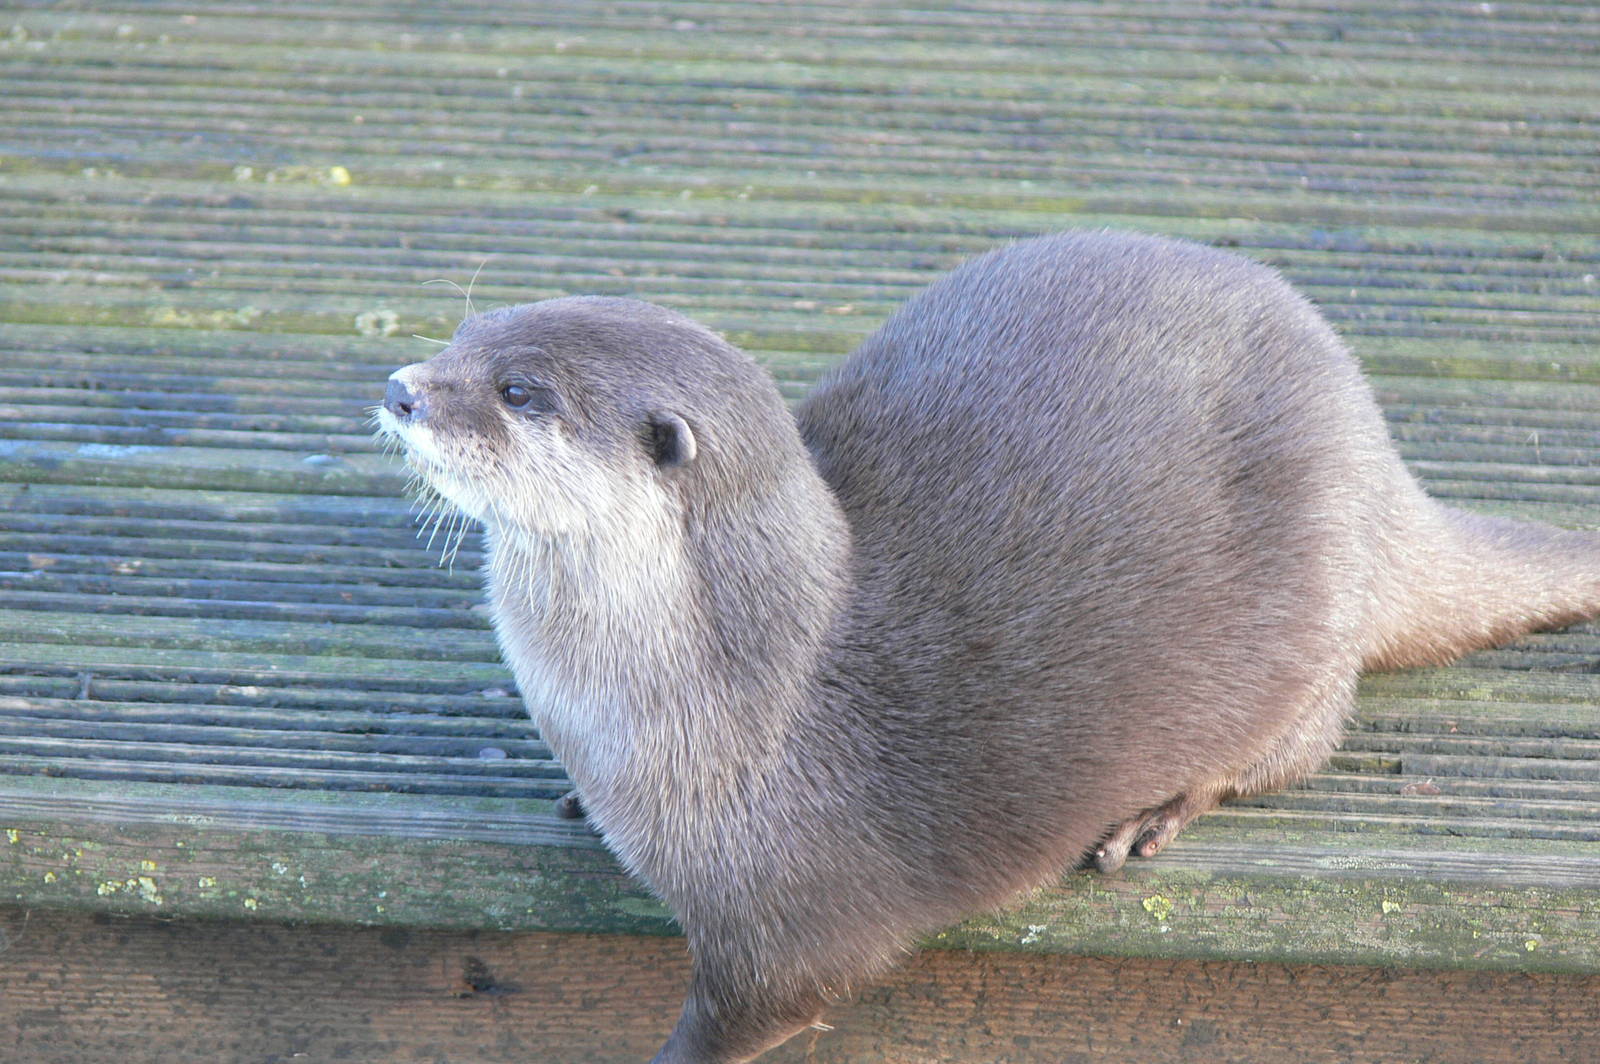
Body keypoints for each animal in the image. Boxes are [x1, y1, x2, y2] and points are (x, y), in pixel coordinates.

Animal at [375, 231, 1600, 1063]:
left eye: (518, 391)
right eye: (463, 337)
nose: (399, 389)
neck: (731, 698)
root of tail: (1378, 458)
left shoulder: (792, 913)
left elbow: (767, 1002)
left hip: (1309, 614)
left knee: (1298, 740)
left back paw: (1153, 814)